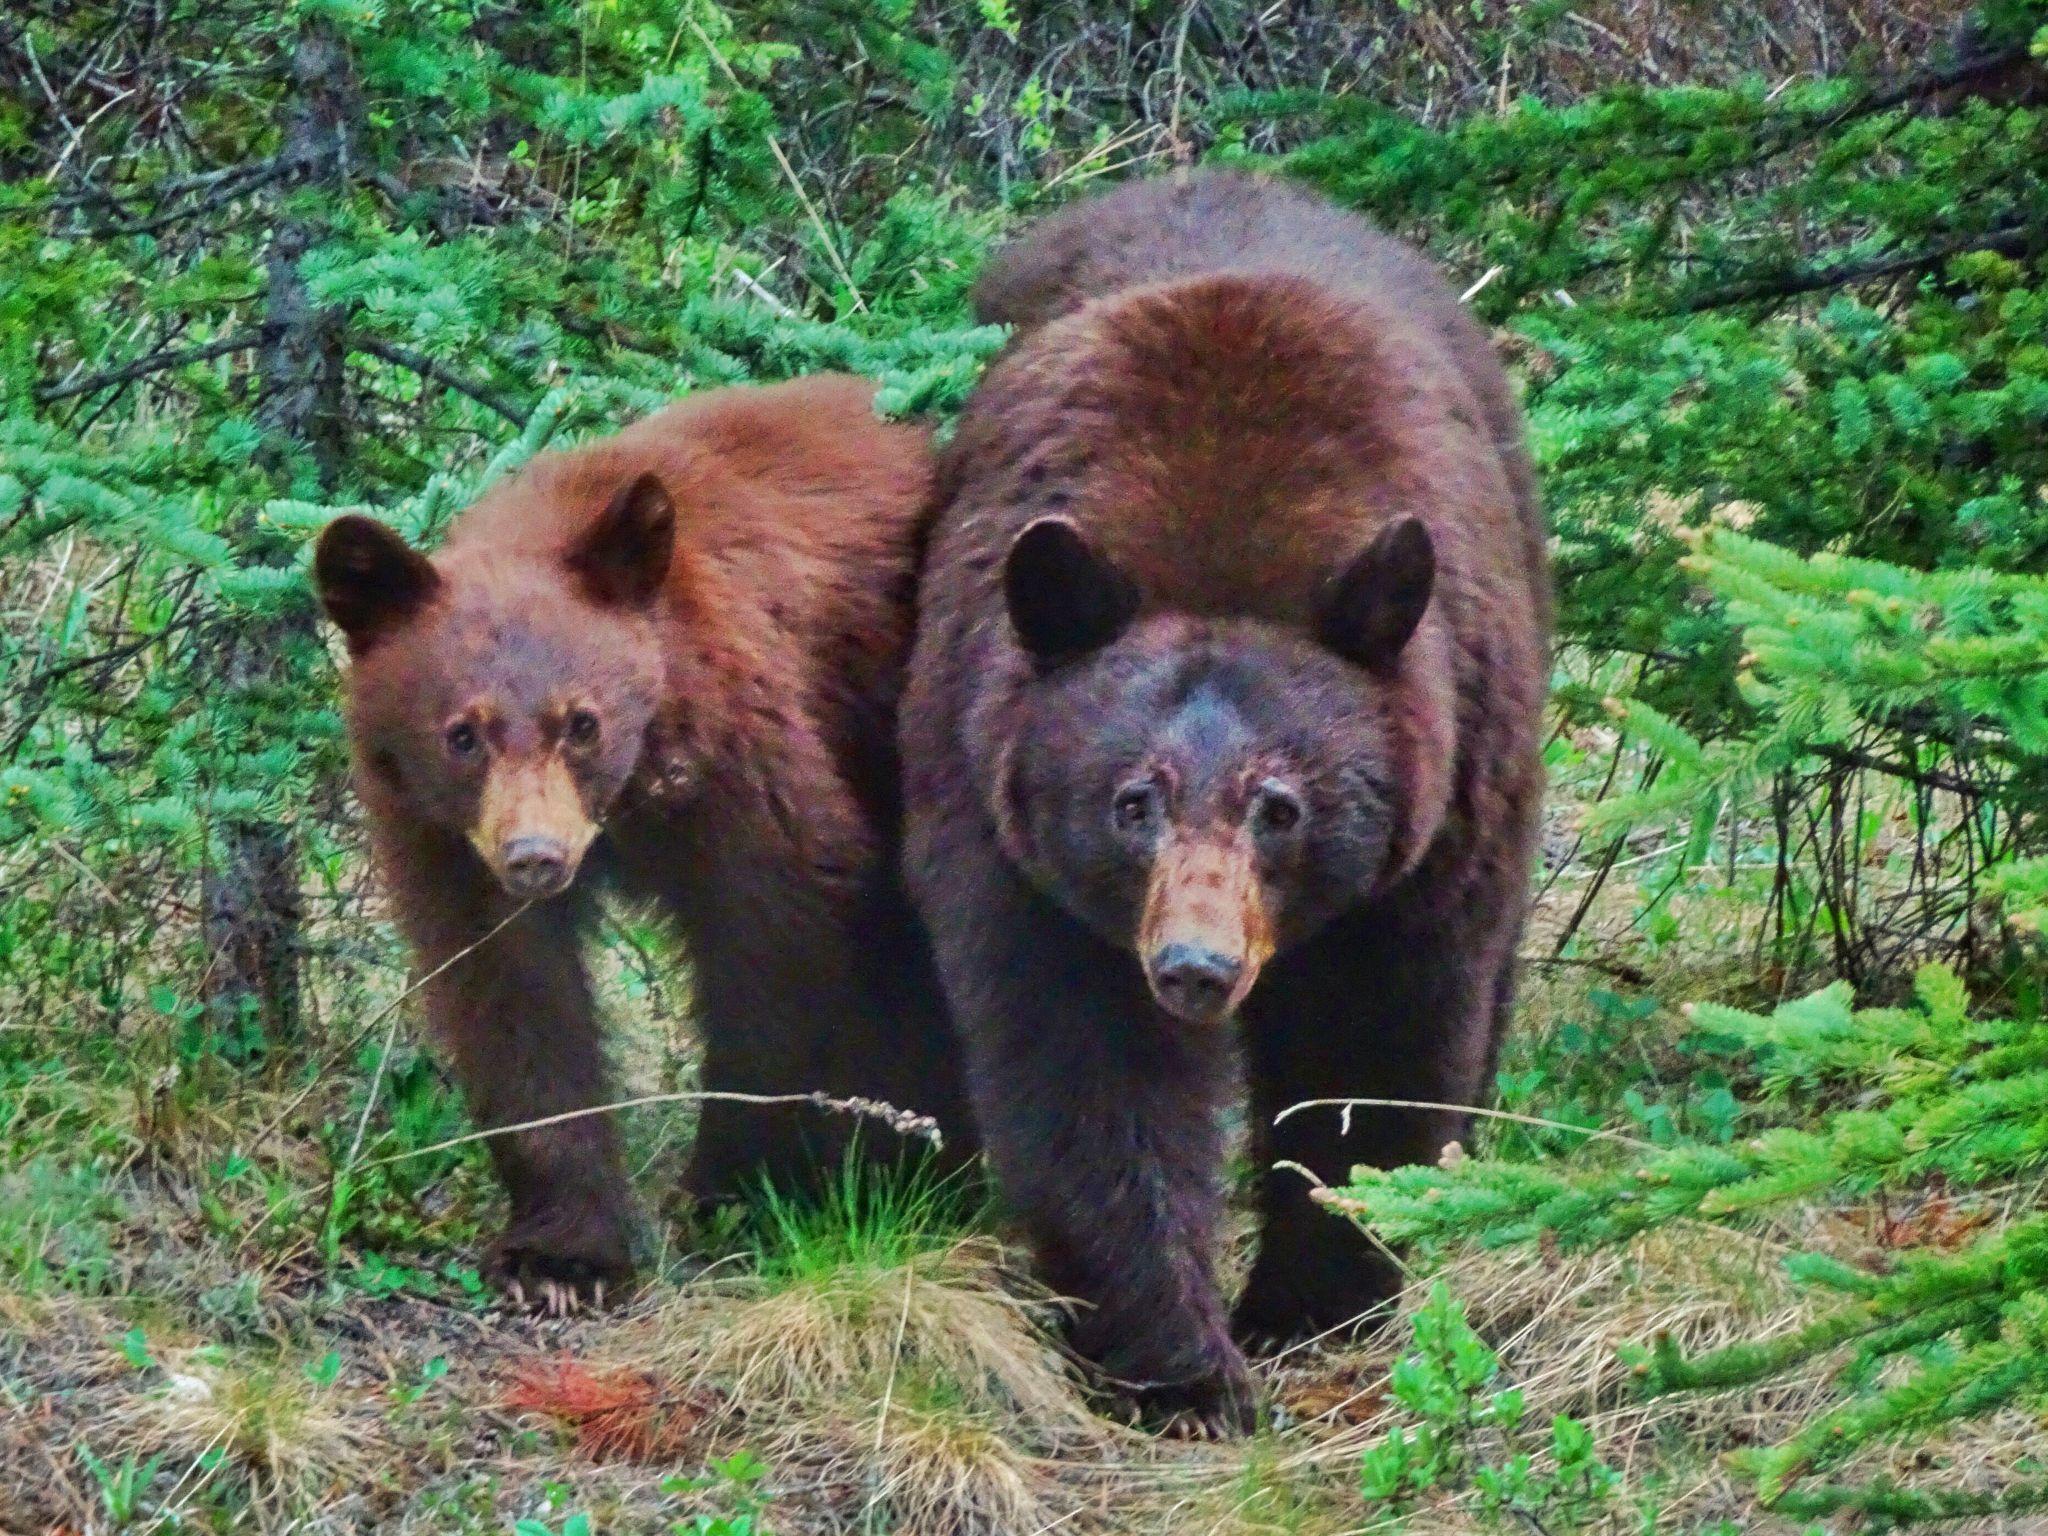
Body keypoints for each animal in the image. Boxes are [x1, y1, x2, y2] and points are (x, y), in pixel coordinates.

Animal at [315, 374, 977, 1312]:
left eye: (582, 722)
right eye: (462, 734)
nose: (536, 856)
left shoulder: (746, 756)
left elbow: (779, 944)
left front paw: (732, 1190)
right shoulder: (444, 838)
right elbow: (512, 995)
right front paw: (560, 1254)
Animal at [900, 169, 1550, 1433]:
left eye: (1280, 805)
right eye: (1130, 800)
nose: (1195, 966)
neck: (1221, 532)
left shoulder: (1435, 816)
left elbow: (1372, 1040)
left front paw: (1312, 1300)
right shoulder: (1005, 817)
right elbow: (1085, 1067)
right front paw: (1179, 1365)